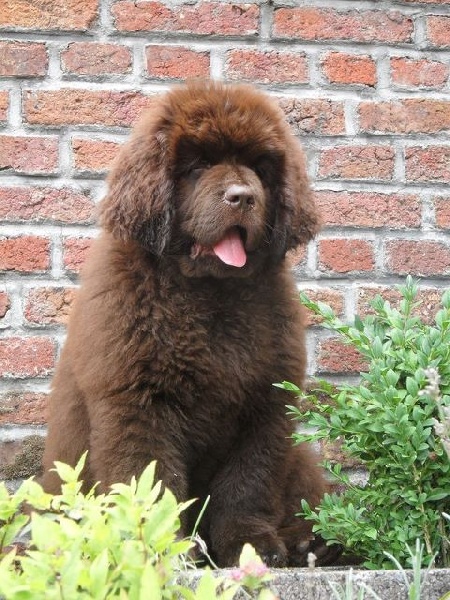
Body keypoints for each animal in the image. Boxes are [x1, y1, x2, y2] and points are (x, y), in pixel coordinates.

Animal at [41, 80, 334, 567]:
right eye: (198, 166)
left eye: (259, 168)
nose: (242, 196)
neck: (208, 294)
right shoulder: (138, 400)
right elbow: (153, 479)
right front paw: (165, 549)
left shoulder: (265, 407)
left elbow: (248, 483)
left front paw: (250, 545)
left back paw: (308, 542)